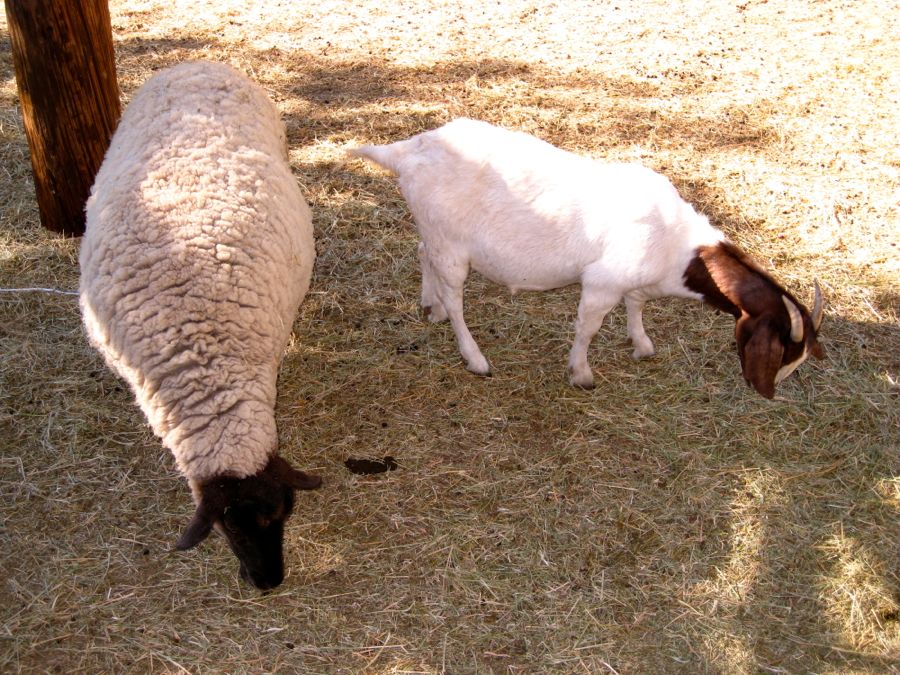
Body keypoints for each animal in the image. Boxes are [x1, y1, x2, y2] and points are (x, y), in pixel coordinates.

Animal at [350, 119, 824, 398]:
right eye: (784, 353)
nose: (770, 392)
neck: (677, 245)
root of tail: (406, 152)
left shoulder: (636, 282)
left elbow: (637, 307)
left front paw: (642, 344)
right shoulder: (602, 282)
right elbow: (588, 327)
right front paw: (581, 373)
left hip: (434, 231)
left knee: (423, 253)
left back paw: (429, 307)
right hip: (451, 243)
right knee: (455, 296)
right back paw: (475, 357)